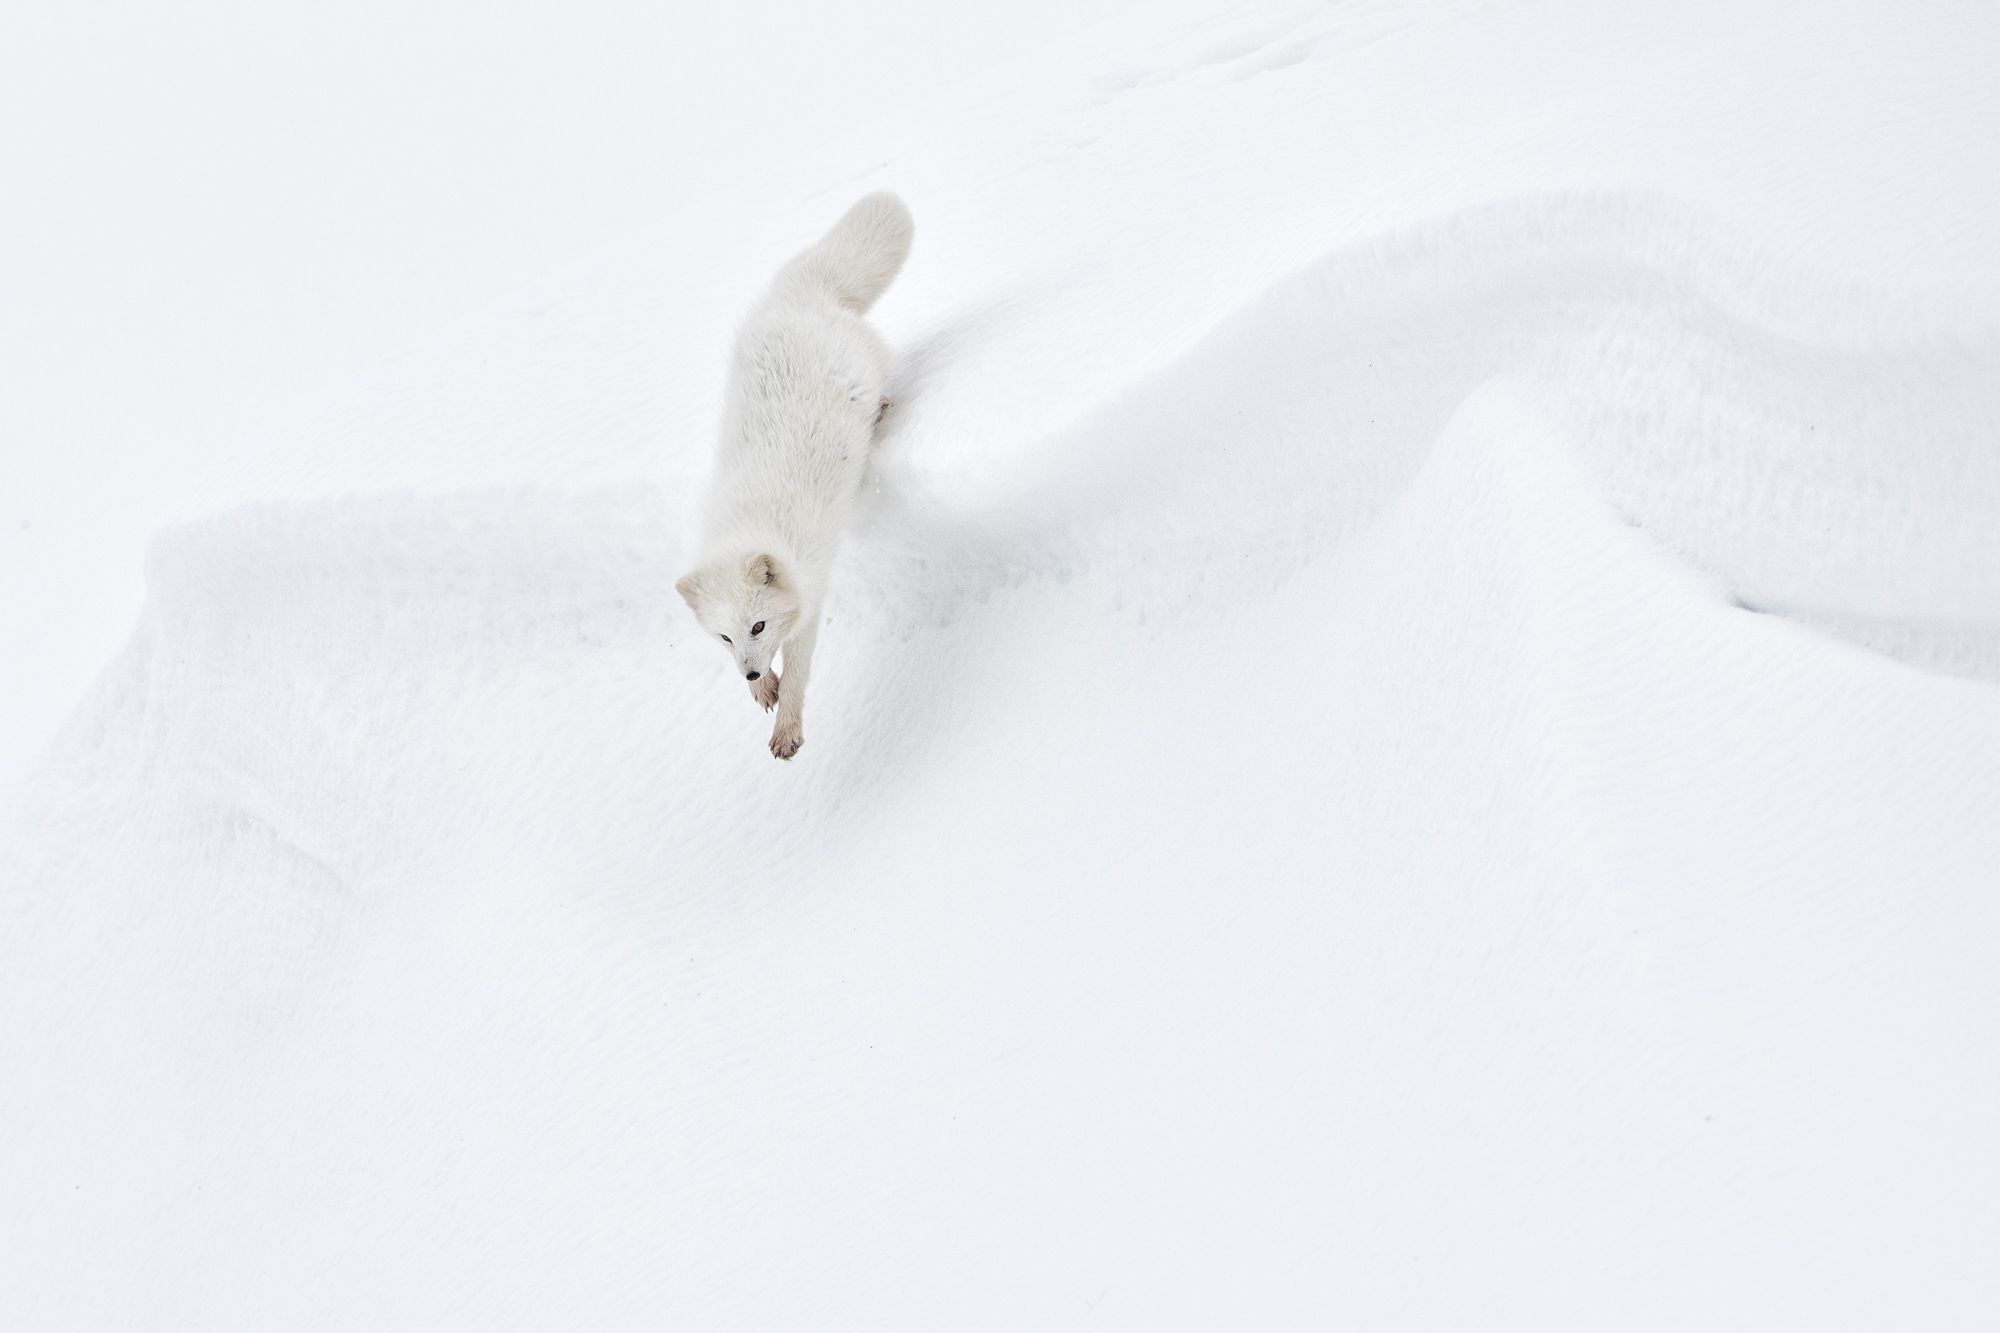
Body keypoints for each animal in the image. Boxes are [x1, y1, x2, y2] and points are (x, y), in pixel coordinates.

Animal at [675, 192, 914, 760]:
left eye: (759, 624)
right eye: (725, 637)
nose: (748, 673)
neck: (748, 522)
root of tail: (796, 299)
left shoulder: (812, 594)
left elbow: (801, 673)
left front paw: (788, 727)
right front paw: (764, 688)